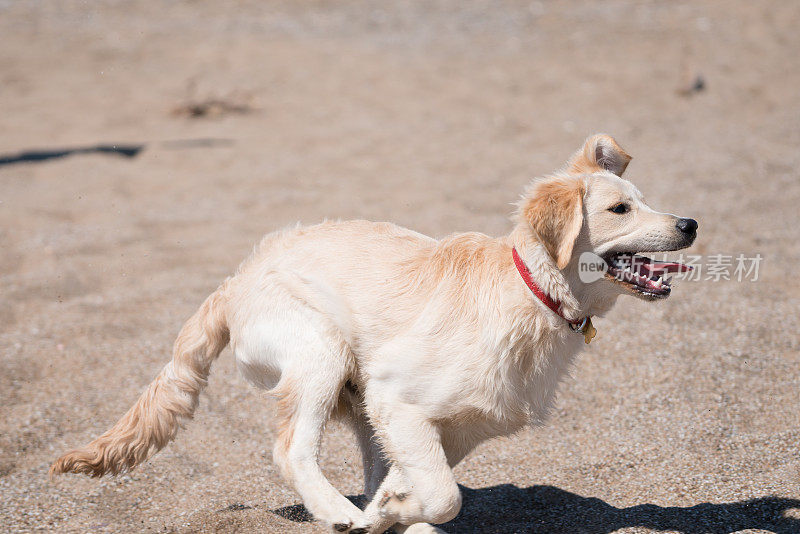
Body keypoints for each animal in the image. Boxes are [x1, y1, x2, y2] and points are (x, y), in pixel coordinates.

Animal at [53, 136, 696, 534]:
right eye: (619, 209)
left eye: (645, 201)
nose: (690, 222)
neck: (530, 294)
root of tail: (236, 280)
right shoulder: (398, 398)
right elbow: (445, 495)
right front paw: (384, 512)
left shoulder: (457, 423)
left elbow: (420, 484)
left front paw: (390, 509)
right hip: (321, 349)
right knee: (291, 448)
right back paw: (336, 509)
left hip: (357, 401)